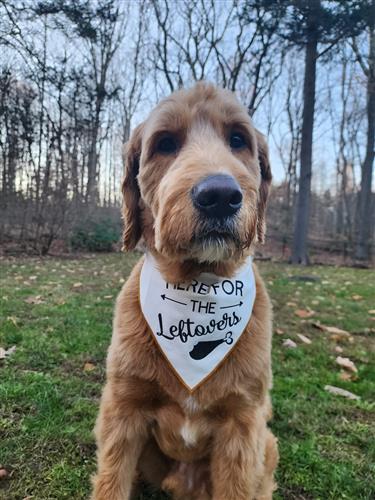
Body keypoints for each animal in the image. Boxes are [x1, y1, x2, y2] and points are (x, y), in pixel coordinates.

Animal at [92, 83, 278, 500]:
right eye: (165, 143)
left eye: (238, 139)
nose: (220, 195)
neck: (199, 287)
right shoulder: (122, 408)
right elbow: (111, 479)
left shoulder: (243, 423)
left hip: (268, 443)